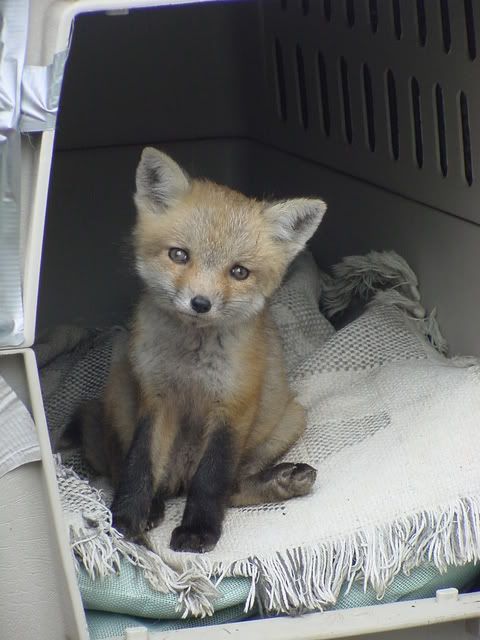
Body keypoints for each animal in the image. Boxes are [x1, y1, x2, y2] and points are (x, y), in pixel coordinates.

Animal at [70, 148, 326, 552]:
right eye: (179, 255)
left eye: (239, 272)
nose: (200, 303)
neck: (191, 363)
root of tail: (180, 480)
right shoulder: (155, 399)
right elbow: (139, 465)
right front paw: (126, 522)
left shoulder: (233, 407)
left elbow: (212, 480)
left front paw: (198, 531)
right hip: (119, 396)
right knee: (130, 469)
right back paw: (154, 506)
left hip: (289, 419)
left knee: (231, 488)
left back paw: (281, 481)